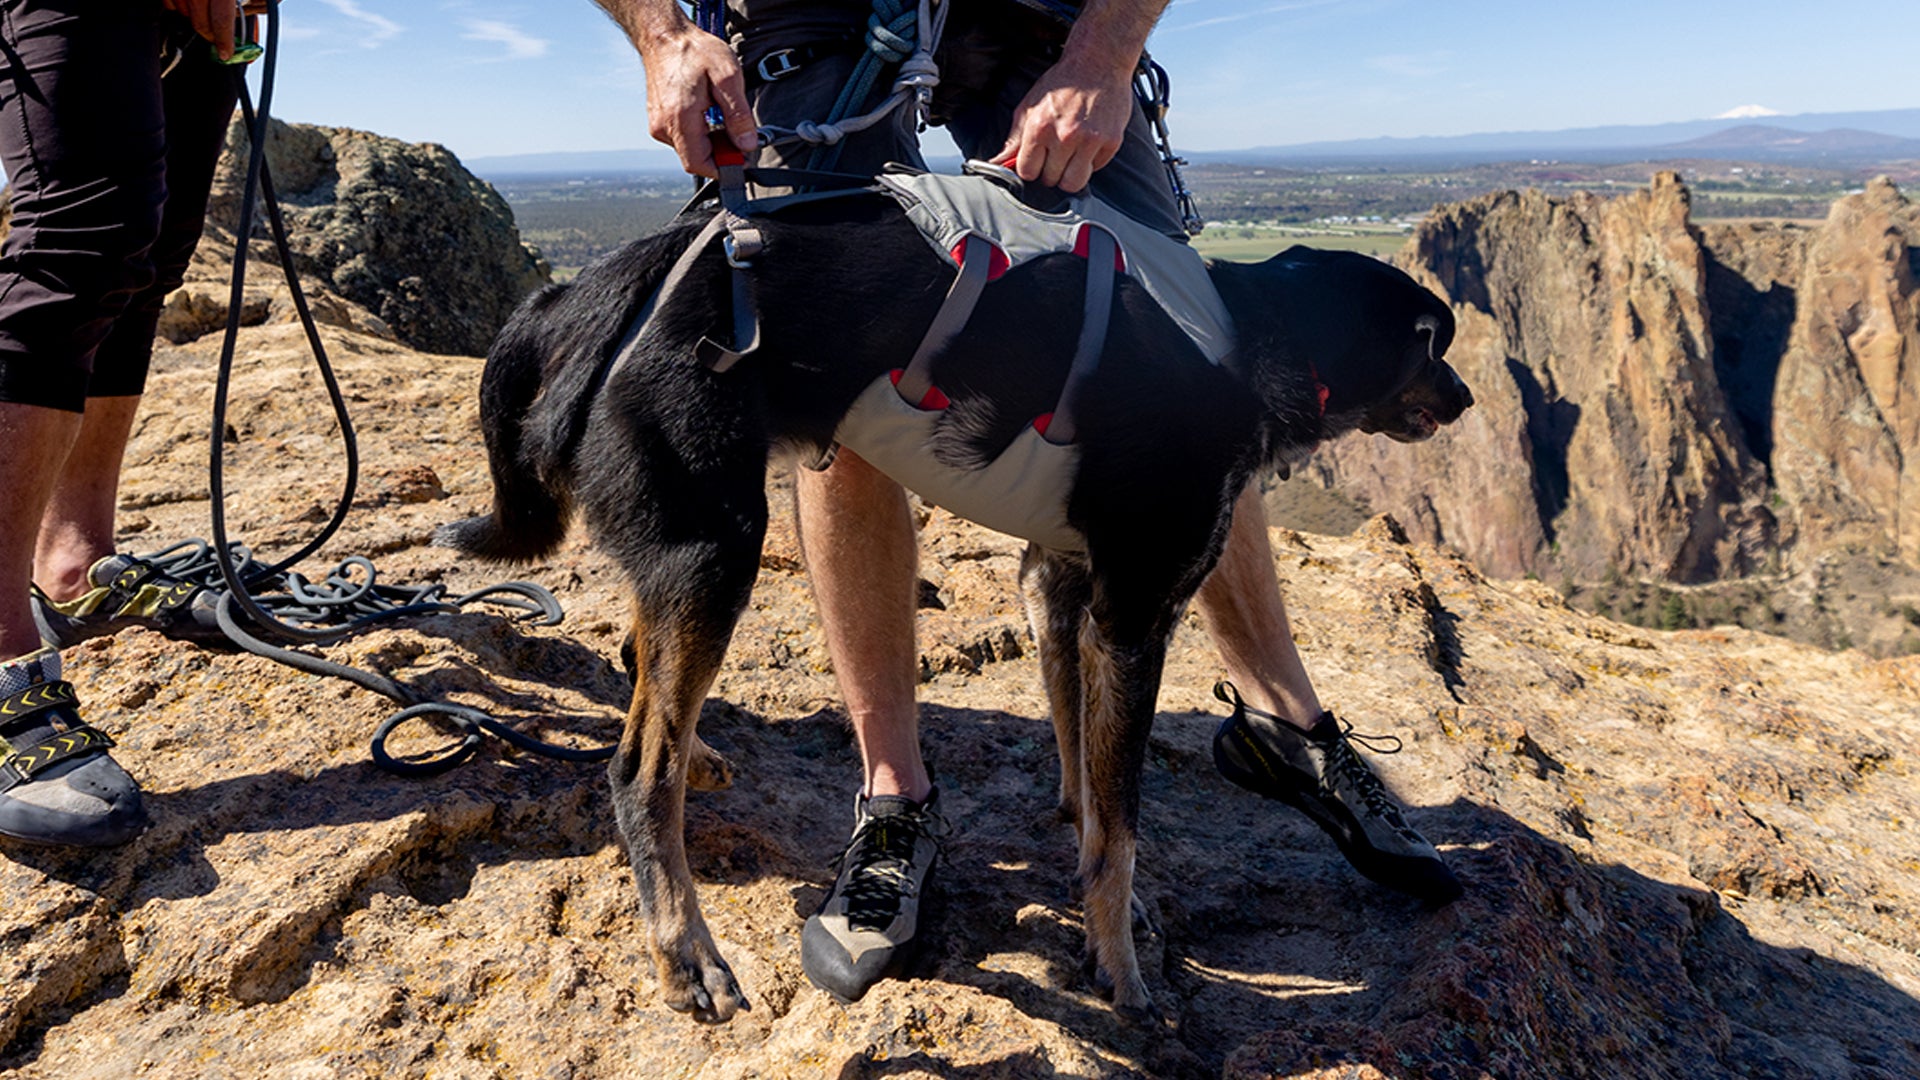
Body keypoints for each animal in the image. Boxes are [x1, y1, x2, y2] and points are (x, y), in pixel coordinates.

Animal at [445, 189, 1466, 1022]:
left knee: (640, 669)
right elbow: (1124, 826)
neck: (1248, 342)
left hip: (684, 549)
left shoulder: (1059, 587)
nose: (1460, 398)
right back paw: (685, 951)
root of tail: (592, 289)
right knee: (634, 771)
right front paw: (1121, 967)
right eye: (1430, 340)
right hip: (716, 548)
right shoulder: (1136, 615)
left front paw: (1105, 904)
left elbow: (1088, 786)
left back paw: (697, 755)